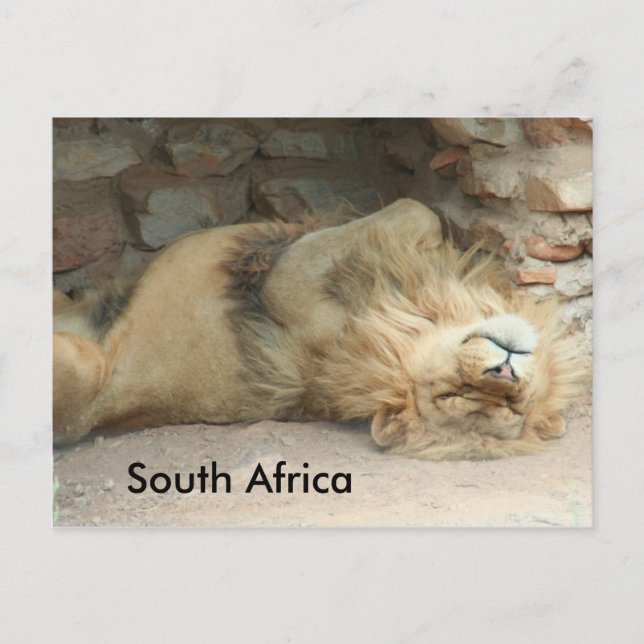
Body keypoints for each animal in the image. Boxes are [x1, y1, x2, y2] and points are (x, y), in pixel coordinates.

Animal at [53, 198, 585, 460]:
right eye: (452, 394)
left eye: (510, 407)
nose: (505, 371)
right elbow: (425, 217)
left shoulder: (287, 281)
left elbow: (412, 209)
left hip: (79, 363)